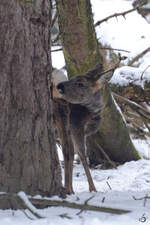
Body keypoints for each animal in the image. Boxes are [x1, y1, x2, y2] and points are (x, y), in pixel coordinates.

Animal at [52, 63, 114, 193]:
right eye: (72, 78)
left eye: (80, 83)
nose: (60, 86)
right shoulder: (76, 126)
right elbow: (80, 155)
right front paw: (92, 189)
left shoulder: (74, 130)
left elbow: (74, 154)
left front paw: (70, 188)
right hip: (62, 118)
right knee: (66, 151)